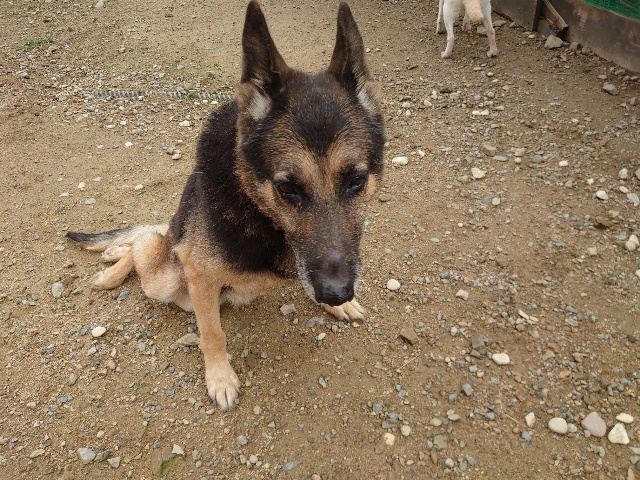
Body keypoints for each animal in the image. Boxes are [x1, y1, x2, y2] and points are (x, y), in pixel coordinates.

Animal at [66, 1, 385, 410]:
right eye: (287, 188)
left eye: (356, 180)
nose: (337, 293)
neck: (259, 210)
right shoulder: (200, 277)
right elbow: (212, 335)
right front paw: (220, 377)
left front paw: (338, 306)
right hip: (166, 279)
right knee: (145, 244)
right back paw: (111, 271)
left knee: (151, 232)